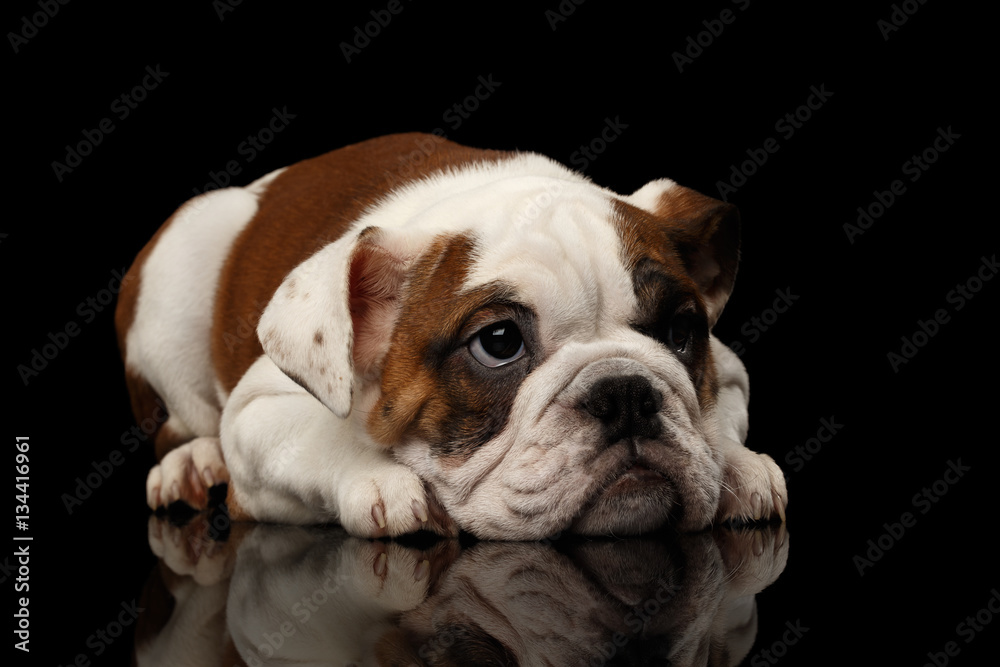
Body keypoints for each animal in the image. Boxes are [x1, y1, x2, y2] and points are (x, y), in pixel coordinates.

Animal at [117, 133, 784, 540]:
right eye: (499, 343)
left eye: (681, 330)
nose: (625, 392)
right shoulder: (256, 413)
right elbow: (318, 437)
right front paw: (381, 479)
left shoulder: (727, 370)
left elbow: (717, 414)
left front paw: (737, 465)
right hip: (178, 277)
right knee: (183, 421)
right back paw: (191, 462)